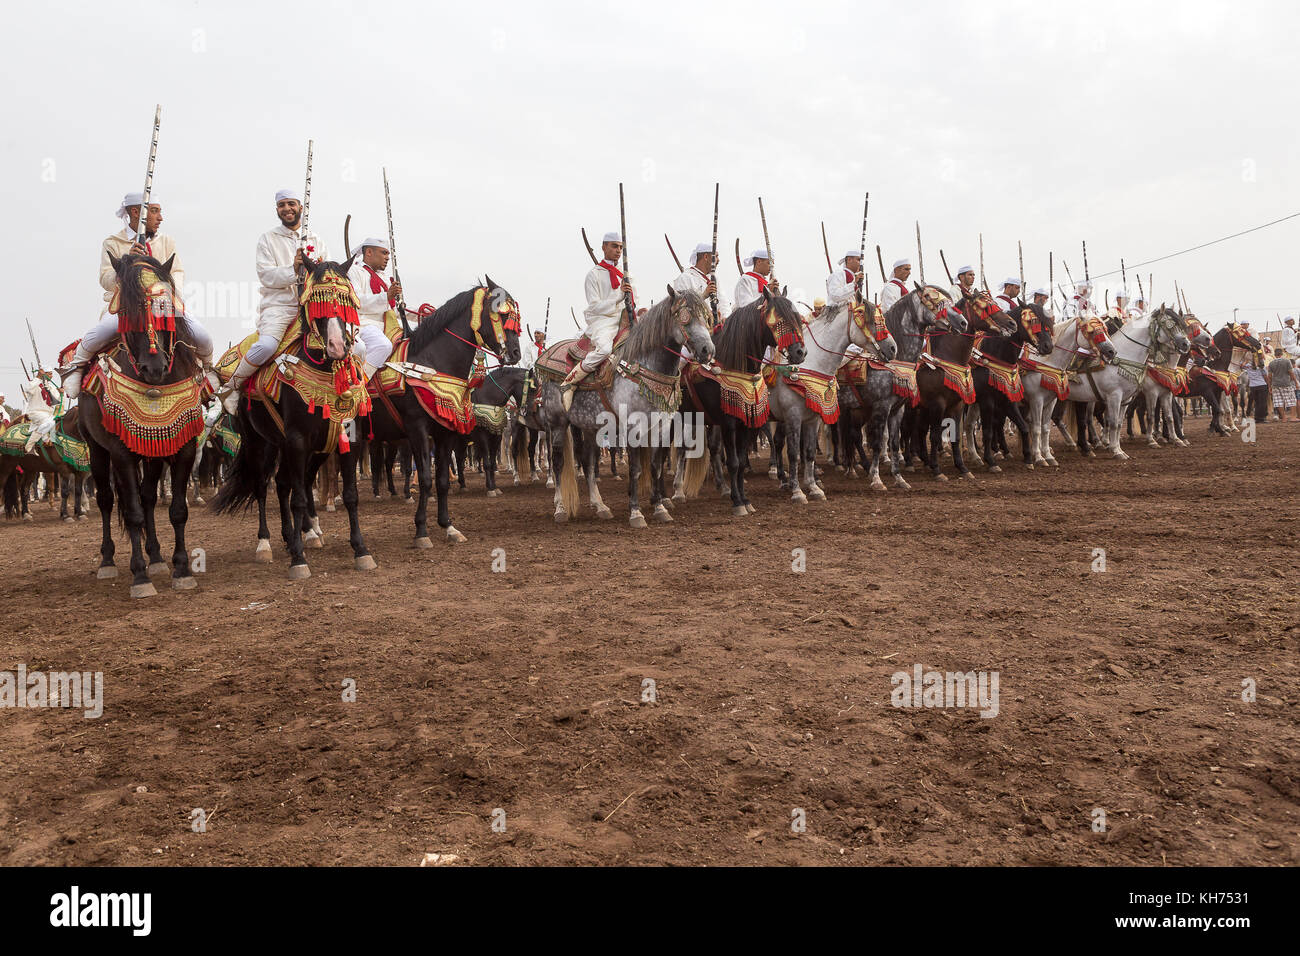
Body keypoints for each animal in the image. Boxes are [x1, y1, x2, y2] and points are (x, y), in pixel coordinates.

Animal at [76, 254, 205, 598]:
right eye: (125, 311)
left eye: (165, 307)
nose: (154, 367)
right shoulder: (120, 453)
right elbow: (131, 512)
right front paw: (140, 577)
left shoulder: (183, 448)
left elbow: (177, 510)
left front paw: (182, 569)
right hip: (98, 451)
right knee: (107, 500)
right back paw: (108, 562)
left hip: (152, 454)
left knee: (147, 497)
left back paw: (157, 557)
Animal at [213, 254, 377, 580]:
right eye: (316, 303)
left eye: (345, 301)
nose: (337, 347)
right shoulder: (297, 440)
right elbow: (299, 497)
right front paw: (299, 560)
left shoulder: (347, 438)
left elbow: (349, 495)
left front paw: (361, 550)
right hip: (261, 444)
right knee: (263, 486)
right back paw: (266, 544)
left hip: (302, 448)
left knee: (285, 482)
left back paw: (298, 535)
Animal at [356, 280, 522, 541]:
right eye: (502, 314)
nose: (515, 353)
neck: (431, 363)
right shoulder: (418, 429)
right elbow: (425, 477)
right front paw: (421, 530)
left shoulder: (448, 432)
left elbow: (442, 479)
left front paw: (448, 525)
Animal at [538, 287, 722, 528]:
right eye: (685, 317)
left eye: (706, 317)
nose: (707, 350)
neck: (645, 367)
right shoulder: (634, 427)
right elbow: (635, 469)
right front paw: (636, 512)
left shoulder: (661, 427)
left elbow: (655, 467)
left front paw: (660, 507)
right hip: (558, 423)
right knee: (558, 462)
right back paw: (560, 508)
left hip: (590, 427)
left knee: (587, 463)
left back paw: (600, 506)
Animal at [670, 290, 800, 520]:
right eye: (778, 321)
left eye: (797, 317)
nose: (800, 352)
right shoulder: (728, 423)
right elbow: (733, 462)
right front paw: (738, 502)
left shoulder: (746, 422)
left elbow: (739, 460)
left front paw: (744, 499)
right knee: (677, 449)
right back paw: (674, 491)